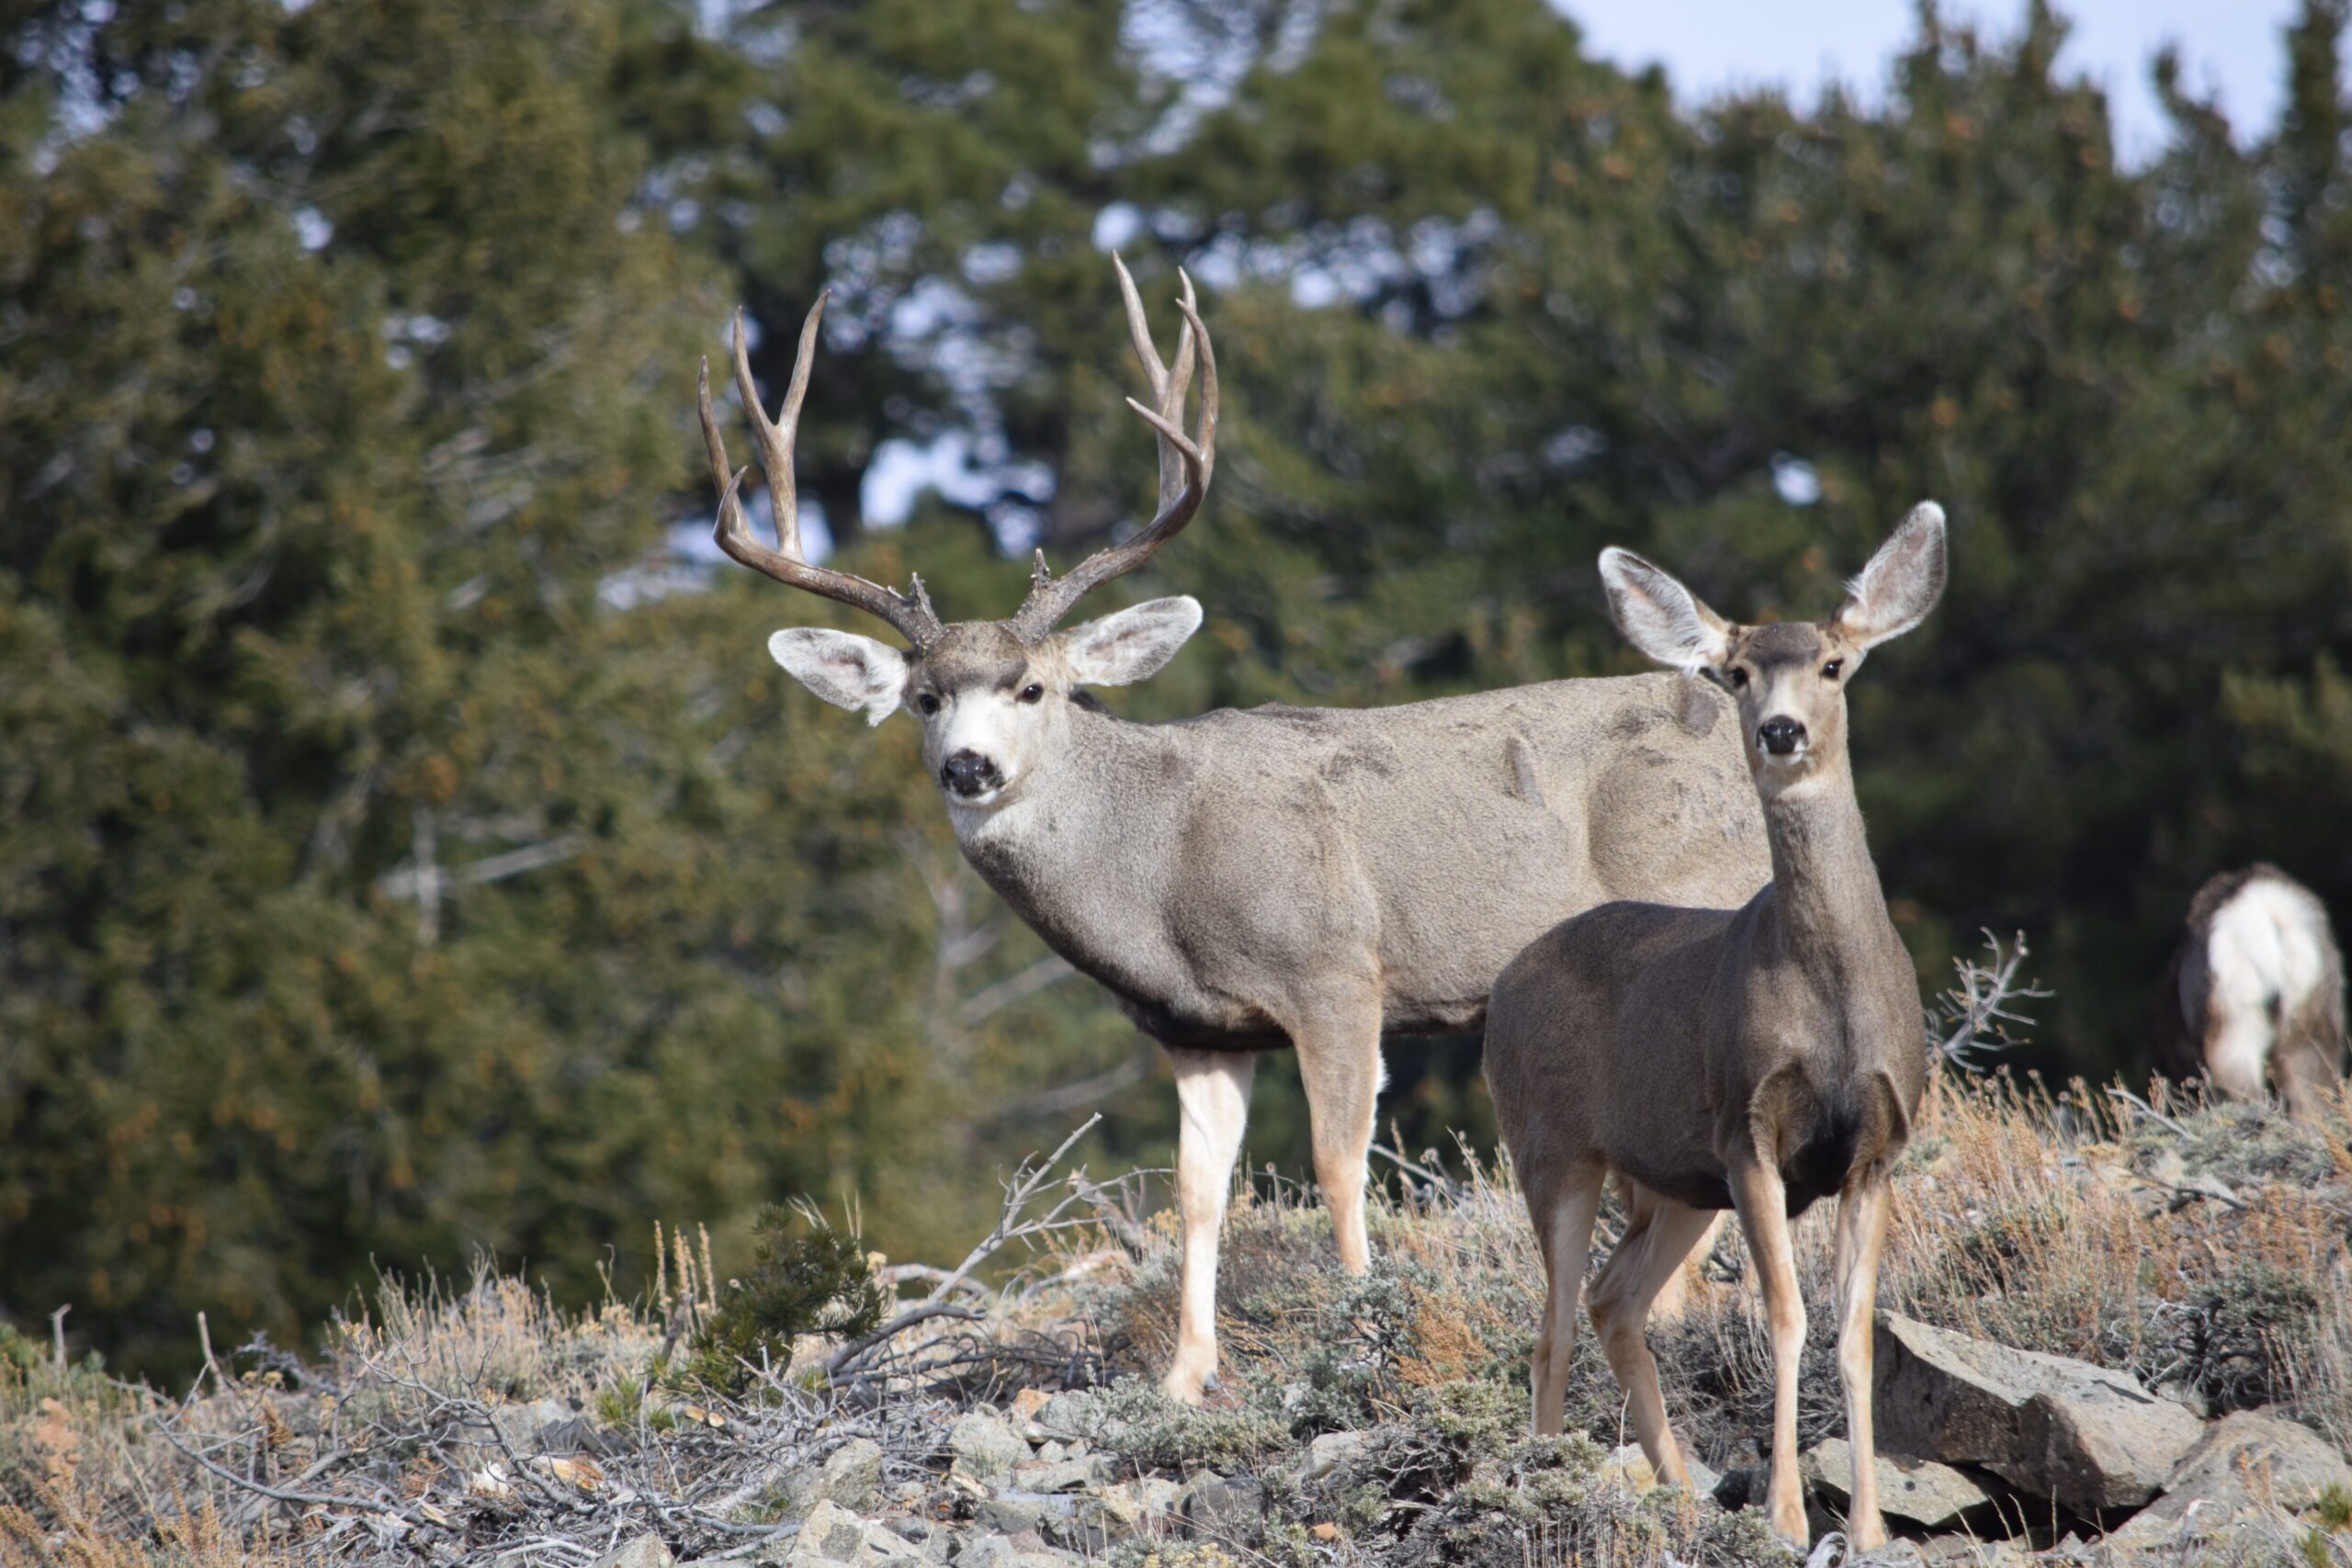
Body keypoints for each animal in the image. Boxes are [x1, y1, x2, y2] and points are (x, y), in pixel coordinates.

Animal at [693, 258, 1771, 1403]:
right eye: (922, 700)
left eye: (1033, 688)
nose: (968, 767)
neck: (1163, 864)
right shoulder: (1198, 1031)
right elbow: (1197, 1192)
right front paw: (1181, 1376)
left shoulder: (1337, 969)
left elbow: (1337, 1166)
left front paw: (1358, 1328)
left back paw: (1683, 1308)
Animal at [1483, 503, 1947, 1551]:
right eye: (1735, 672)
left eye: (1832, 663)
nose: (1779, 729)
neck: (1832, 1005)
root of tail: (1499, 987)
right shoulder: (1748, 1131)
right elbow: (1784, 1315)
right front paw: (1784, 1515)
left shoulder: (1877, 1147)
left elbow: (1855, 1333)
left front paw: (1867, 1527)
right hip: (1552, 1145)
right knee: (1553, 1325)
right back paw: (1549, 1485)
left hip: (1672, 1181)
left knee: (1614, 1301)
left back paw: (1682, 1497)